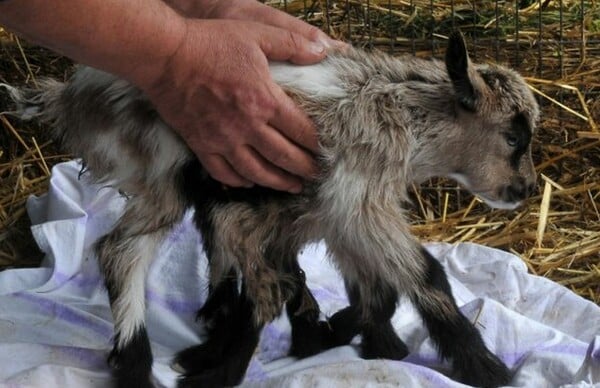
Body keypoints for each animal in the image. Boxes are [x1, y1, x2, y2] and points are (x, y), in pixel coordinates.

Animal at [4, 32, 540, 388]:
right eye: (514, 137)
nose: (527, 189)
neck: (399, 113)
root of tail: (72, 95)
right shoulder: (357, 199)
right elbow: (424, 275)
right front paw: (485, 367)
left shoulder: (332, 210)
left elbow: (372, 288)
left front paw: (360, 339)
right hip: (162, 170)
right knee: (121, 251)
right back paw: (141, 364)